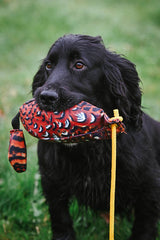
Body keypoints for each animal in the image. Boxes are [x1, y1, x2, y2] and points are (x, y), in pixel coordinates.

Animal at [32, 34, 160, 240]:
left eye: (79, 65)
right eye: (48, 65)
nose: (45, 97)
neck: (88, 148)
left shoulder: (150, 185)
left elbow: (144, 225)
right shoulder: (52, 182)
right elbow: (60, 219)